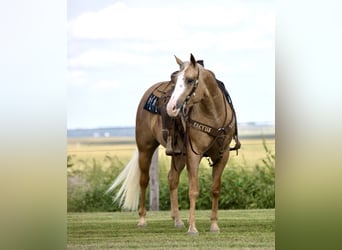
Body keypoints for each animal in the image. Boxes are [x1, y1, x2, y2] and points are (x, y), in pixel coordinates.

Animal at [108, 53, 239, 235]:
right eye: (176, 79)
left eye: (190, 80)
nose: (171, 107)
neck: (214, 116)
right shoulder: (194, 154)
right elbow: (193, 190)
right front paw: (193, 228)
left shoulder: (222, 155)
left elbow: (215, 189)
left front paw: (214, 225)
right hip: (145, 149)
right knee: (144, 180)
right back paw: (142, 219)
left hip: (179, 155)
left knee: (172, 179)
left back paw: (177, 220)